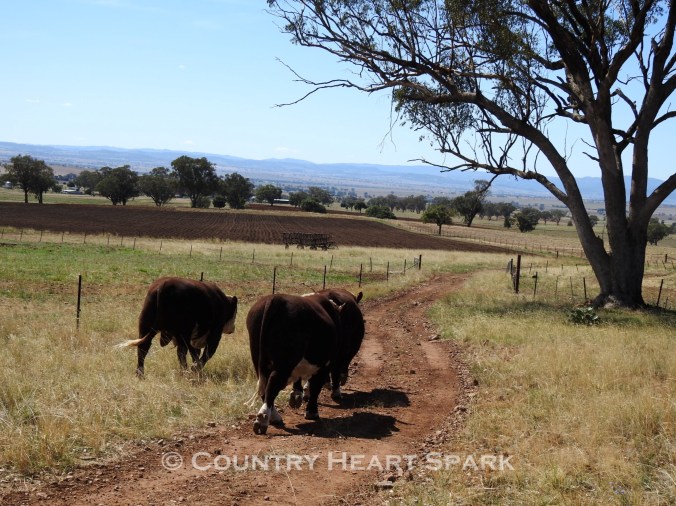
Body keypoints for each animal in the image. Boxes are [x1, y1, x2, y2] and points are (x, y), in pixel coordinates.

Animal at [246, 292, 344, 435]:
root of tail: (277, 297)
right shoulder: (325, 365)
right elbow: (315, 387)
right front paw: (312, 411)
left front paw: (297, 395)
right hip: (285, 364)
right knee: (272, 384)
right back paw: (263, 419)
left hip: (259, 360)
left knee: (264, 387)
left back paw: (273, 416)